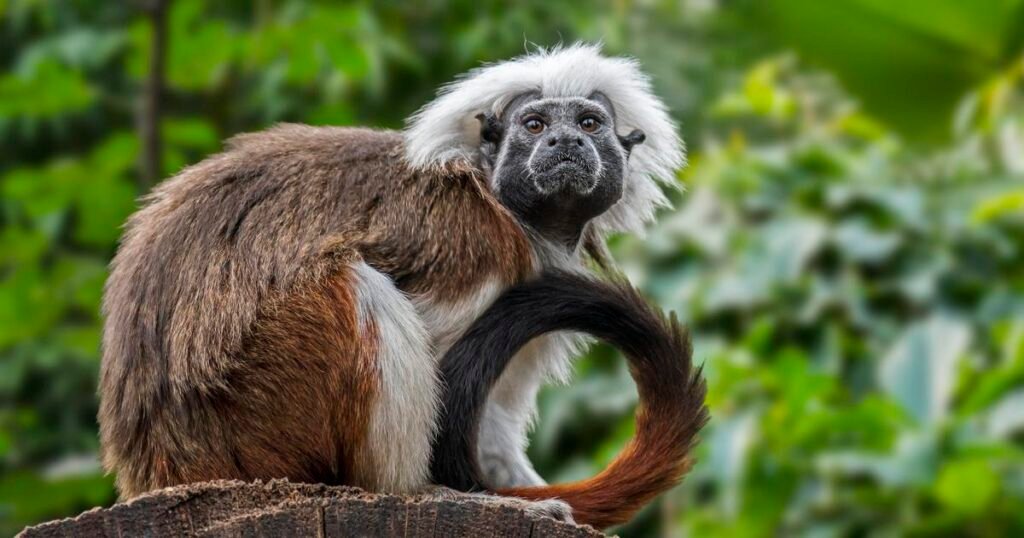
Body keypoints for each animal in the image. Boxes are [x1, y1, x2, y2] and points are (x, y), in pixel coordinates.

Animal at [97, 44, 696, 524]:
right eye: (535, 126)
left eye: (589, 123)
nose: (565, 142)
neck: (506, 205)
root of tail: (164, 467)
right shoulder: (473, 244)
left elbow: (492, 416)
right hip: (259, 416)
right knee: (355, 285)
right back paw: (416, 491)